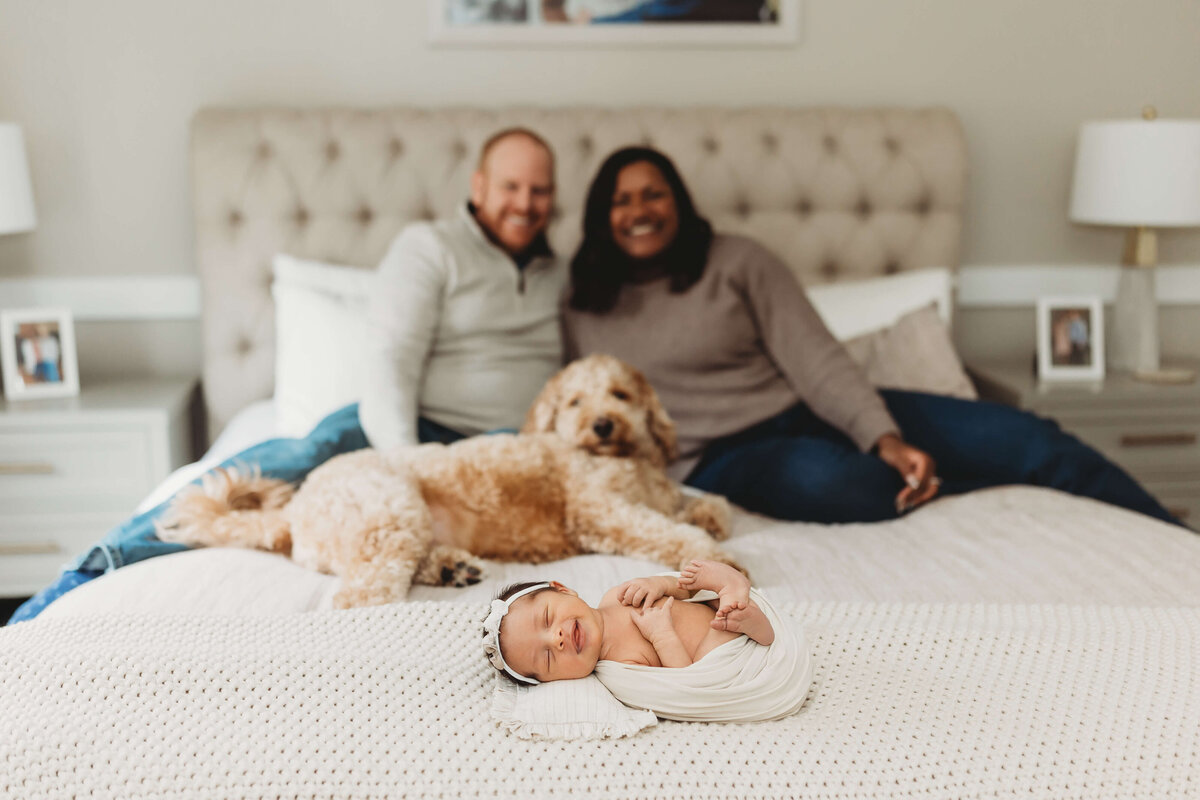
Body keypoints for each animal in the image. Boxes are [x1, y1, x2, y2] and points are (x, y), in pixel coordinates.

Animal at [154, 352, 734, 609]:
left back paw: (451, 567)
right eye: (574, 402)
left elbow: (698, 506)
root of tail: (292, 512)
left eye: (620, 394)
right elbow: (664, 531)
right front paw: (713, 559)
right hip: (390, 512)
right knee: (361, 595)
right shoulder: (600, 512)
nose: (603, 424)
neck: (628, 459)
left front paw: (712, 516)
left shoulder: (657, 495)